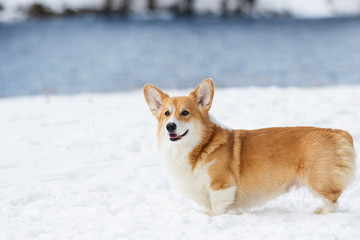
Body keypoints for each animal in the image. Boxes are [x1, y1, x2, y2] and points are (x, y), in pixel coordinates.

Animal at [143, 79, 354, 216]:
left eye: (185, 113)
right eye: (166, 113)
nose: (170, 126)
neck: (198, 146)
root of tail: (337, 132)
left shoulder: (221, 185)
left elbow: (217, 207)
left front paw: (211, 217)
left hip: (318, 179)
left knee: (332, 200)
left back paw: (321, 214)